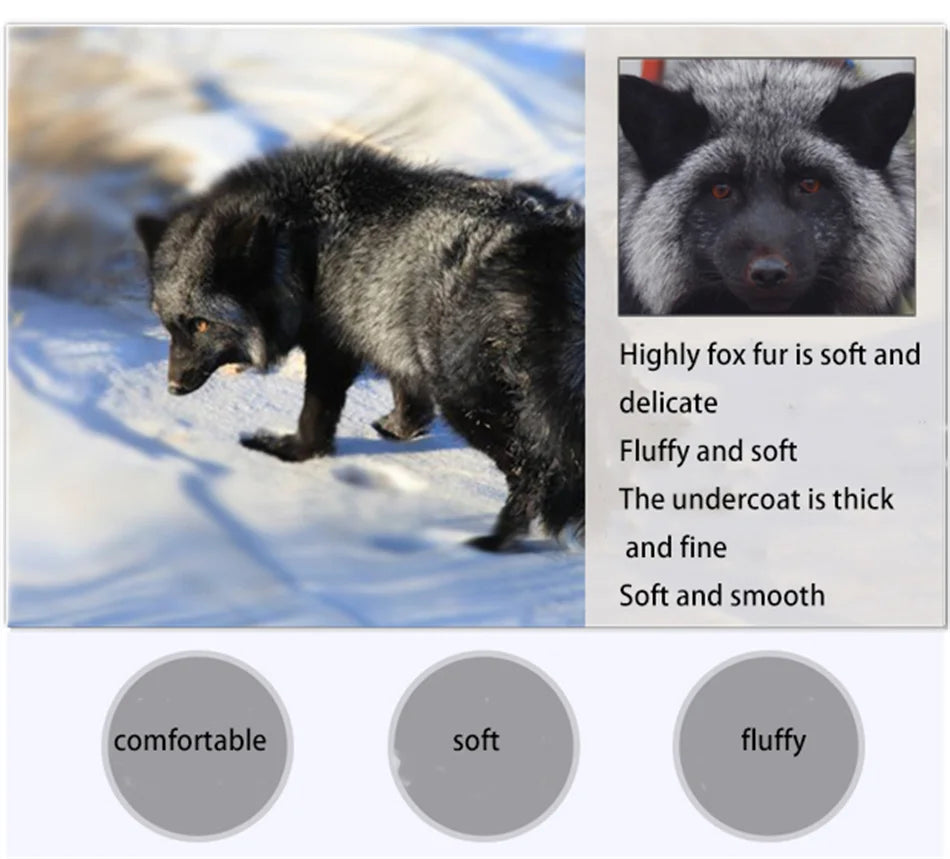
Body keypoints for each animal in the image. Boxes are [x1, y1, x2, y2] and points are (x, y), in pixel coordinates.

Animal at [137, 141, 584, 551]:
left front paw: (294, 453)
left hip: (468, 402)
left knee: (536, 472)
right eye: (170, 326)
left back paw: (495, 542)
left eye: (201, 324)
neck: (300, 242)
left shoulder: (332, 349)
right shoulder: (389, 338)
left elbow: (315, 417)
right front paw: (401, 431)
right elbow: (409, 400)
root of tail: (550, 243)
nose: (173, 387)